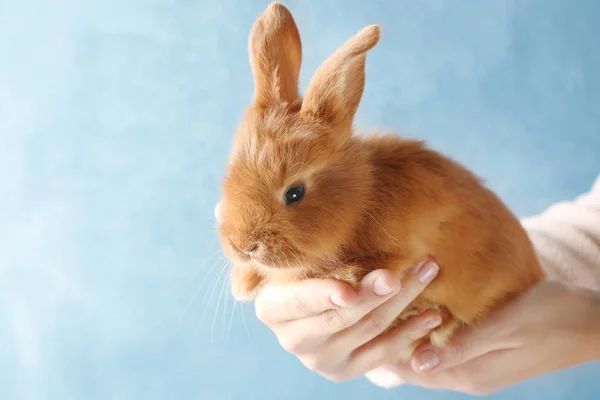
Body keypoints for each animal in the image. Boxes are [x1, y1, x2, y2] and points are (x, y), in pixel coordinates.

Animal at [216, 1, 544, 348]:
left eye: (294, 193)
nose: (242, 246)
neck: (360, 200)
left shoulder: (405, 250)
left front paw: (344, 274)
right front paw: (243, 281)